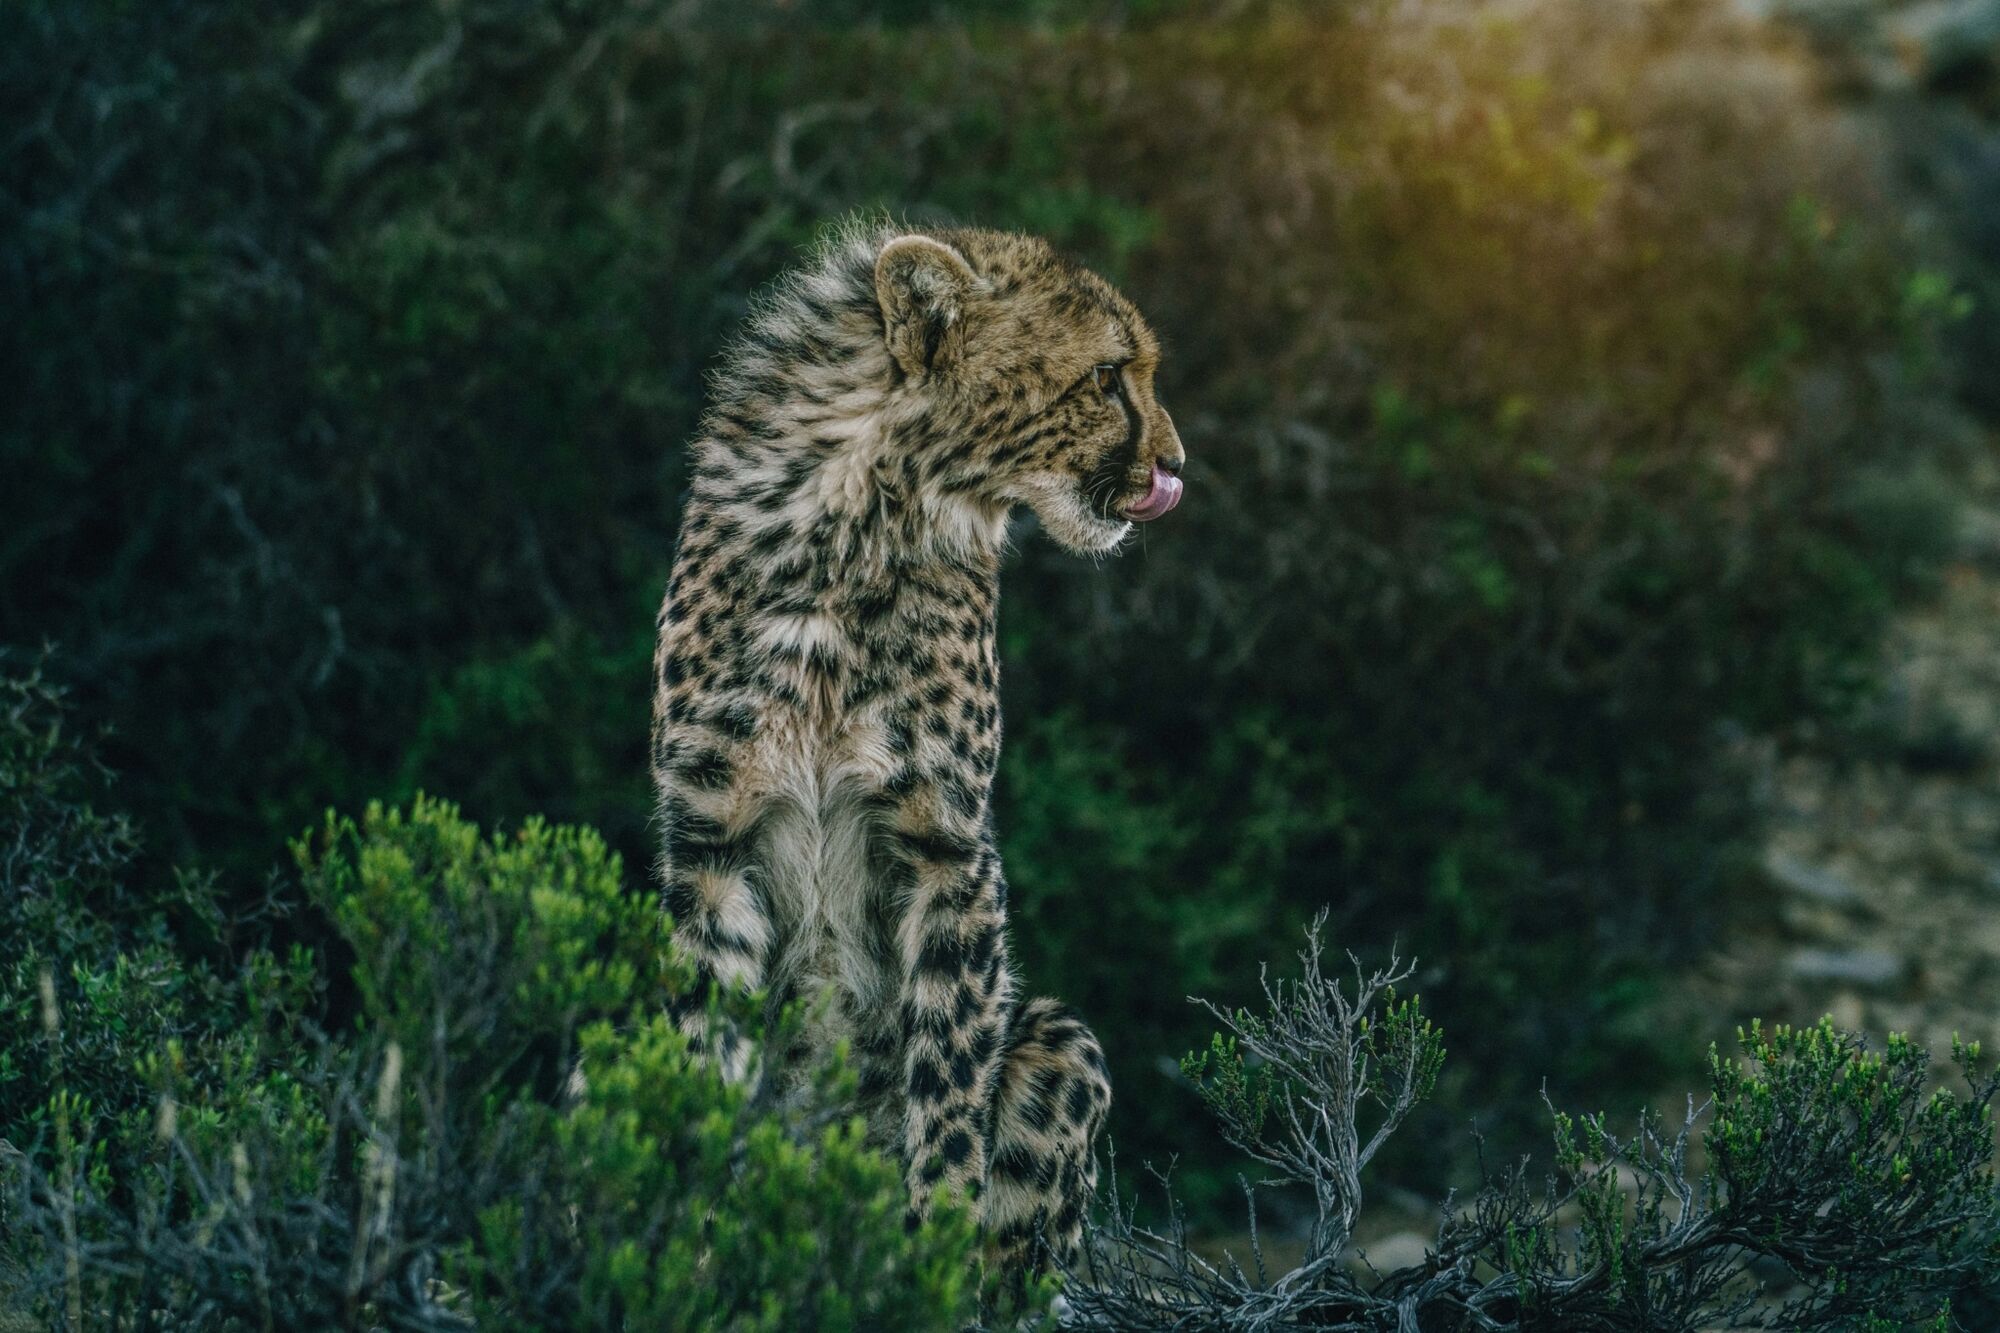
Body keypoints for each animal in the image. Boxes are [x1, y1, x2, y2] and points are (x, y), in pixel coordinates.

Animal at [650, 219, 1185, 1276]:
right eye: (1108, 377)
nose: (1174, 466)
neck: (858, 516)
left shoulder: (946, 844)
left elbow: (945, 1099)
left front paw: (928, 1269)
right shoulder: (709, 841)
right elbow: (699, 1068)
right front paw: (679, 1262)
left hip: (1060, 1039)